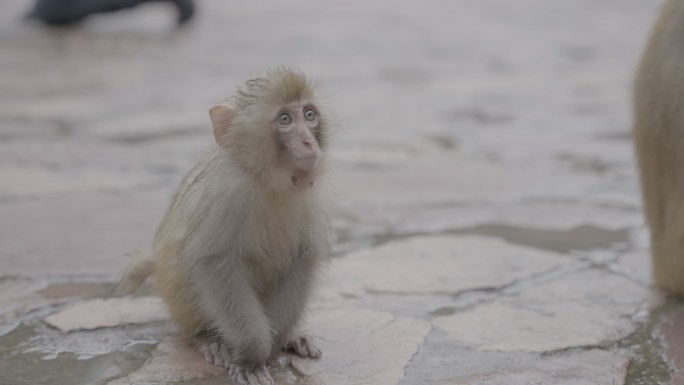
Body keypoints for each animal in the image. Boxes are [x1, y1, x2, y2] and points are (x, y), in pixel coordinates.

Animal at [114, 69, 332, 384]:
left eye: (309, 114)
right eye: (285, 119)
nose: (307, 142)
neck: (269, 183)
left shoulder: (313, 197)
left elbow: (302, 258)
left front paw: (278, 340)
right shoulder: (228, 195)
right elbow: (215, 264)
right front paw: (254, 355)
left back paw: (291, 337)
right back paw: (207, 339)